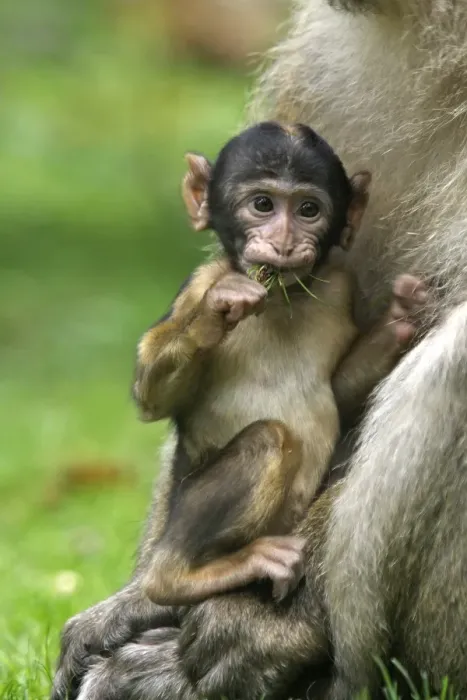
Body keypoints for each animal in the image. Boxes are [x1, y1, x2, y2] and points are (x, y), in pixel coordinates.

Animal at [132, 121, 426, 609]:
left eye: (308, 209)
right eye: (263, 205)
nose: (284, 242)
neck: (281, 301)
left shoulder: (340, 285)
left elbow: (340, 390)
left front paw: (399, 316)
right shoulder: (198, 284)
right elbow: (152, 399)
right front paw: (215, 312)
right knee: (268, 439)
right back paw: (177, 577)